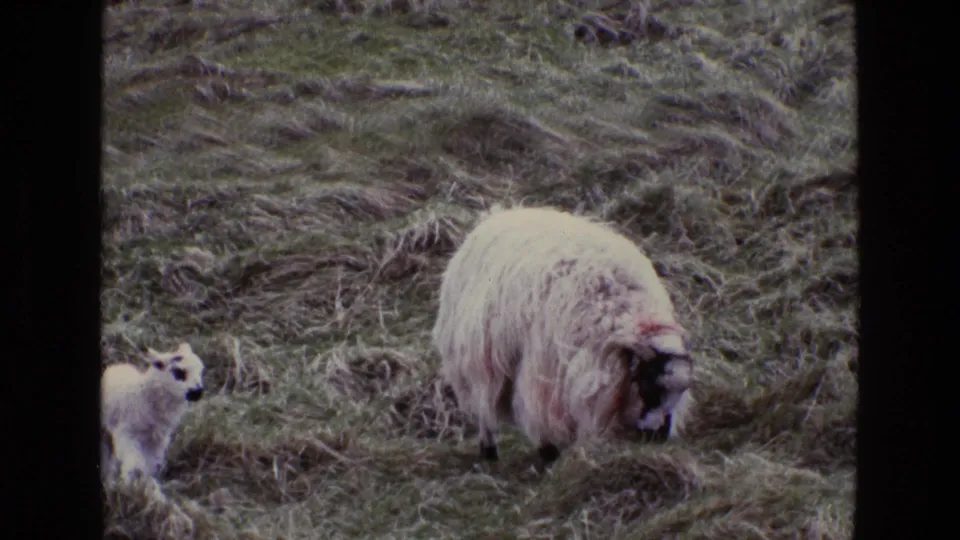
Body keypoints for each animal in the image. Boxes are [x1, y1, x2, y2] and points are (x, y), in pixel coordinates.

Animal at [101, 342, 206, 484]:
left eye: (201, 371)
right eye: (179, 371)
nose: (198, 392)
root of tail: (116, 366)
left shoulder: (158, 441)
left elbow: (149, 466)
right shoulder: (126, 434)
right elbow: (134, 465)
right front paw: (131, 485)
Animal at [432, 205, 694, 464]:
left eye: (679, 393)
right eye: (647, 386)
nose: (658, 435)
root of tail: (499, 214)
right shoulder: (545, 370)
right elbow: (541, 413)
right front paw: (548, 453)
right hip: (477, 359)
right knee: (484, 407)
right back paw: (489, 450)